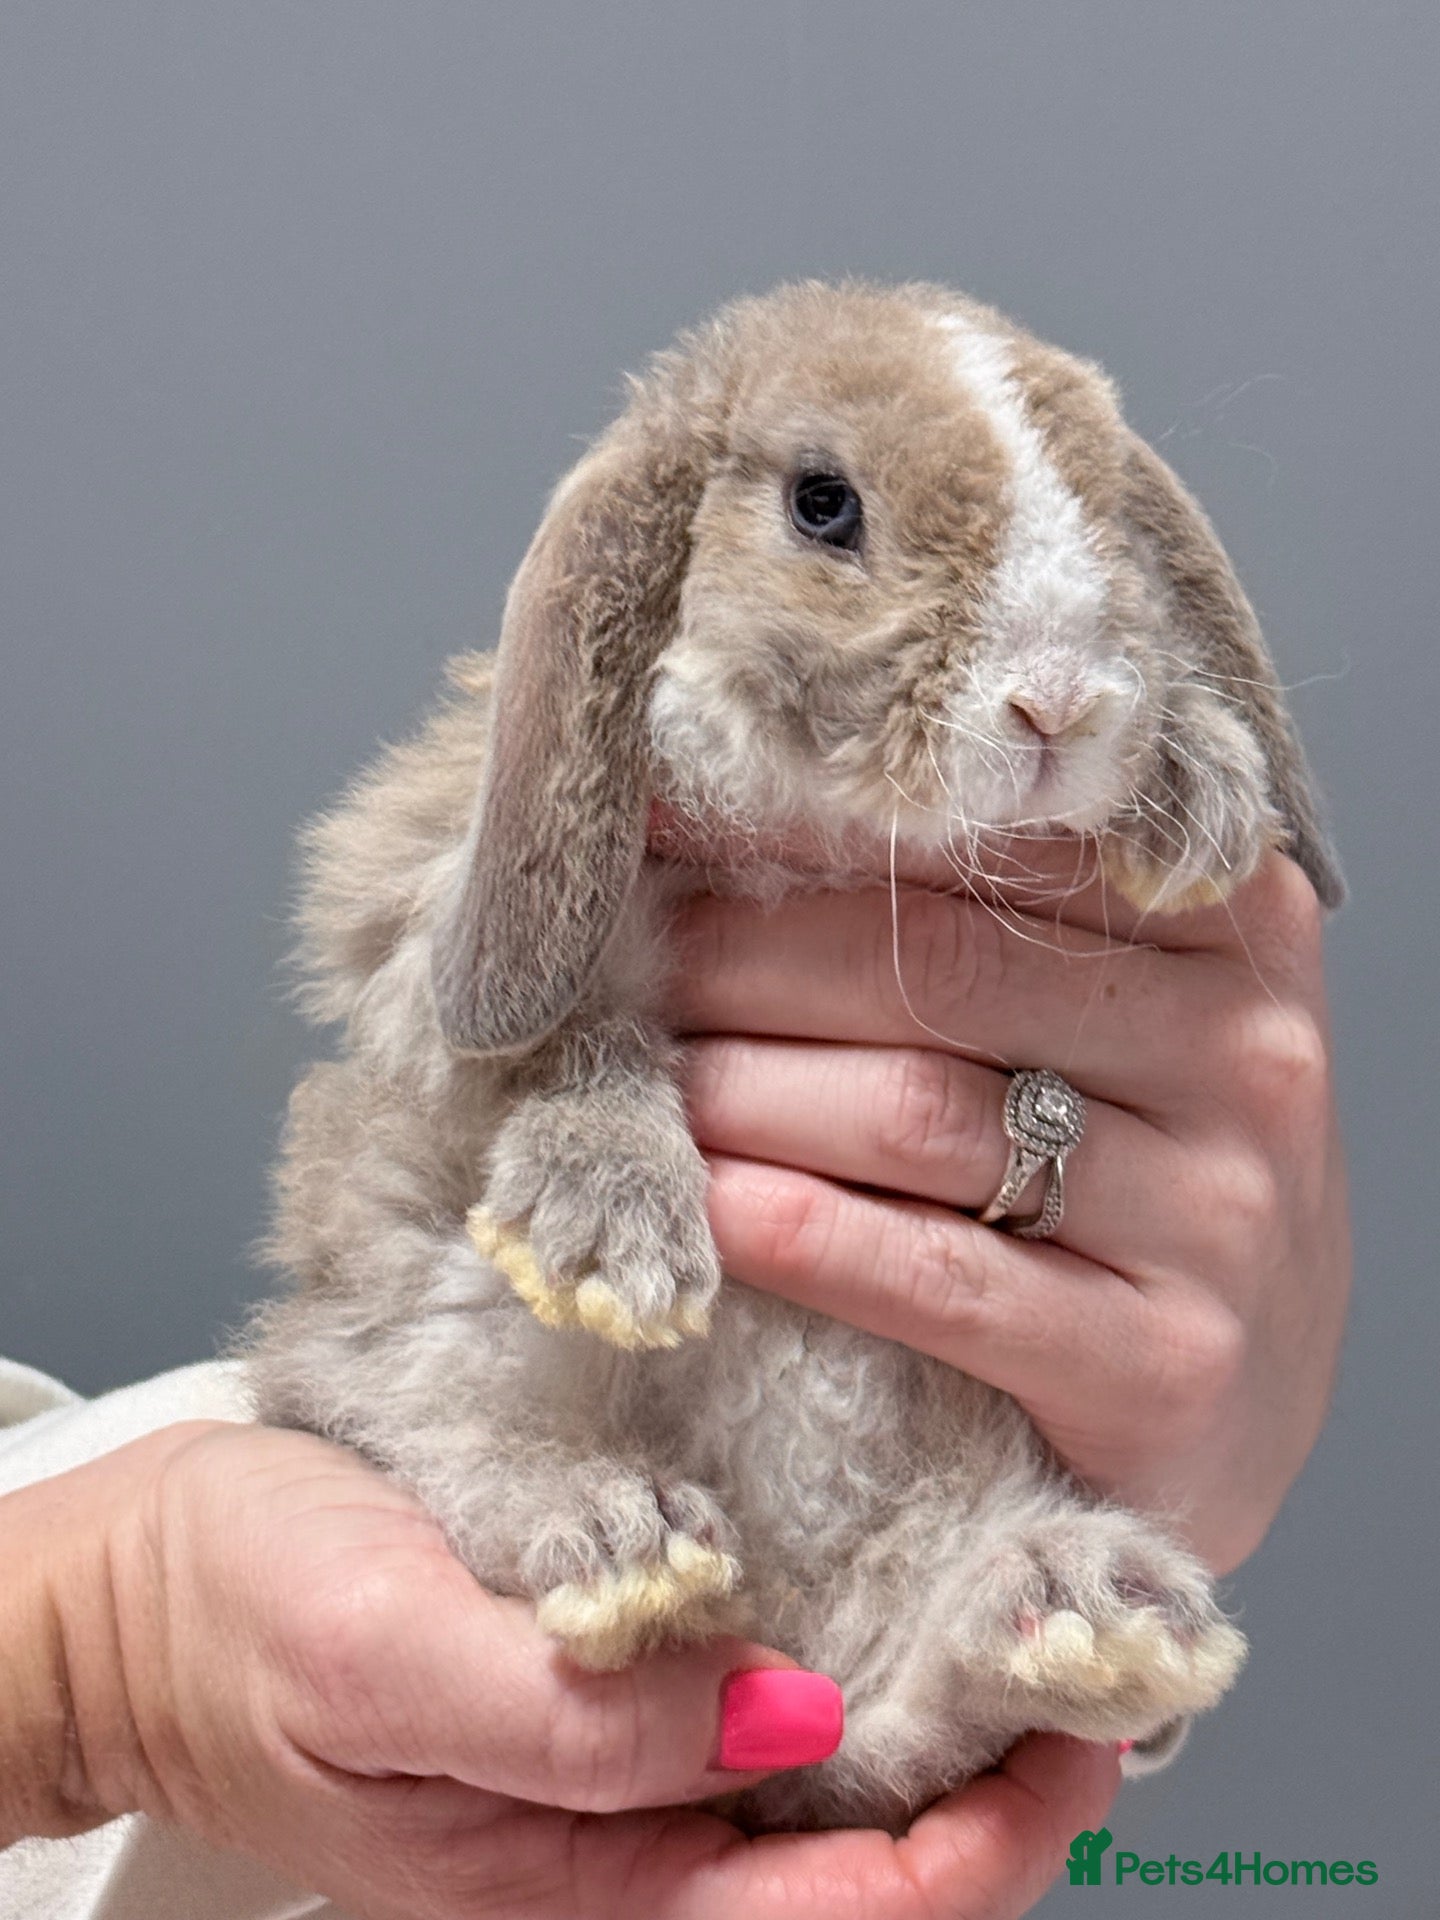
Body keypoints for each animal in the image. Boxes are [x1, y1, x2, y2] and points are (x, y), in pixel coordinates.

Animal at [244, 279, 1342, 1835]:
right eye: (825, 505)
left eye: (1104, 512)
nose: (1059, 705)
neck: (835, 833)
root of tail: (801, 1664)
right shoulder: (427, 913)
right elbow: (578, 1039)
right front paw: (608, 1239)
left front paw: (1196, 786)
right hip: (420, 1335)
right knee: (417, 1427)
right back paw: (624, 1538)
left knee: (925, 1712)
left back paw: (1083, 1609)